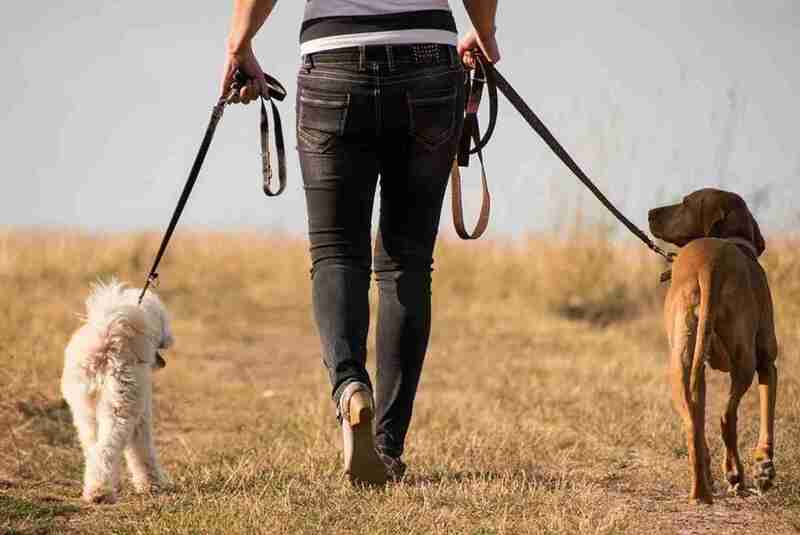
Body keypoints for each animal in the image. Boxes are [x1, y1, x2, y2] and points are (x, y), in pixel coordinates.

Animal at [61, 278, 175, 504]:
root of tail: (106, 341)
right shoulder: (141, 417)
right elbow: (142, 452)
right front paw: (152, 484)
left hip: (84, 412)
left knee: (94, 450)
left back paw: (97, 486)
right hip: (119, 408)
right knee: (106, 449)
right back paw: (100, 492)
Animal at [648, 189, 780, 506]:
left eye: (685, 203)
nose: (649, 213)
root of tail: (709, 265)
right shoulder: (767, 363)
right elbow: (767, 418)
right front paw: (764, 469)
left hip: (680, 364)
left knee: (692, 423)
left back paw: (701, 491)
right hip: (744, 361)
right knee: (726, 417)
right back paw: (735, 476)